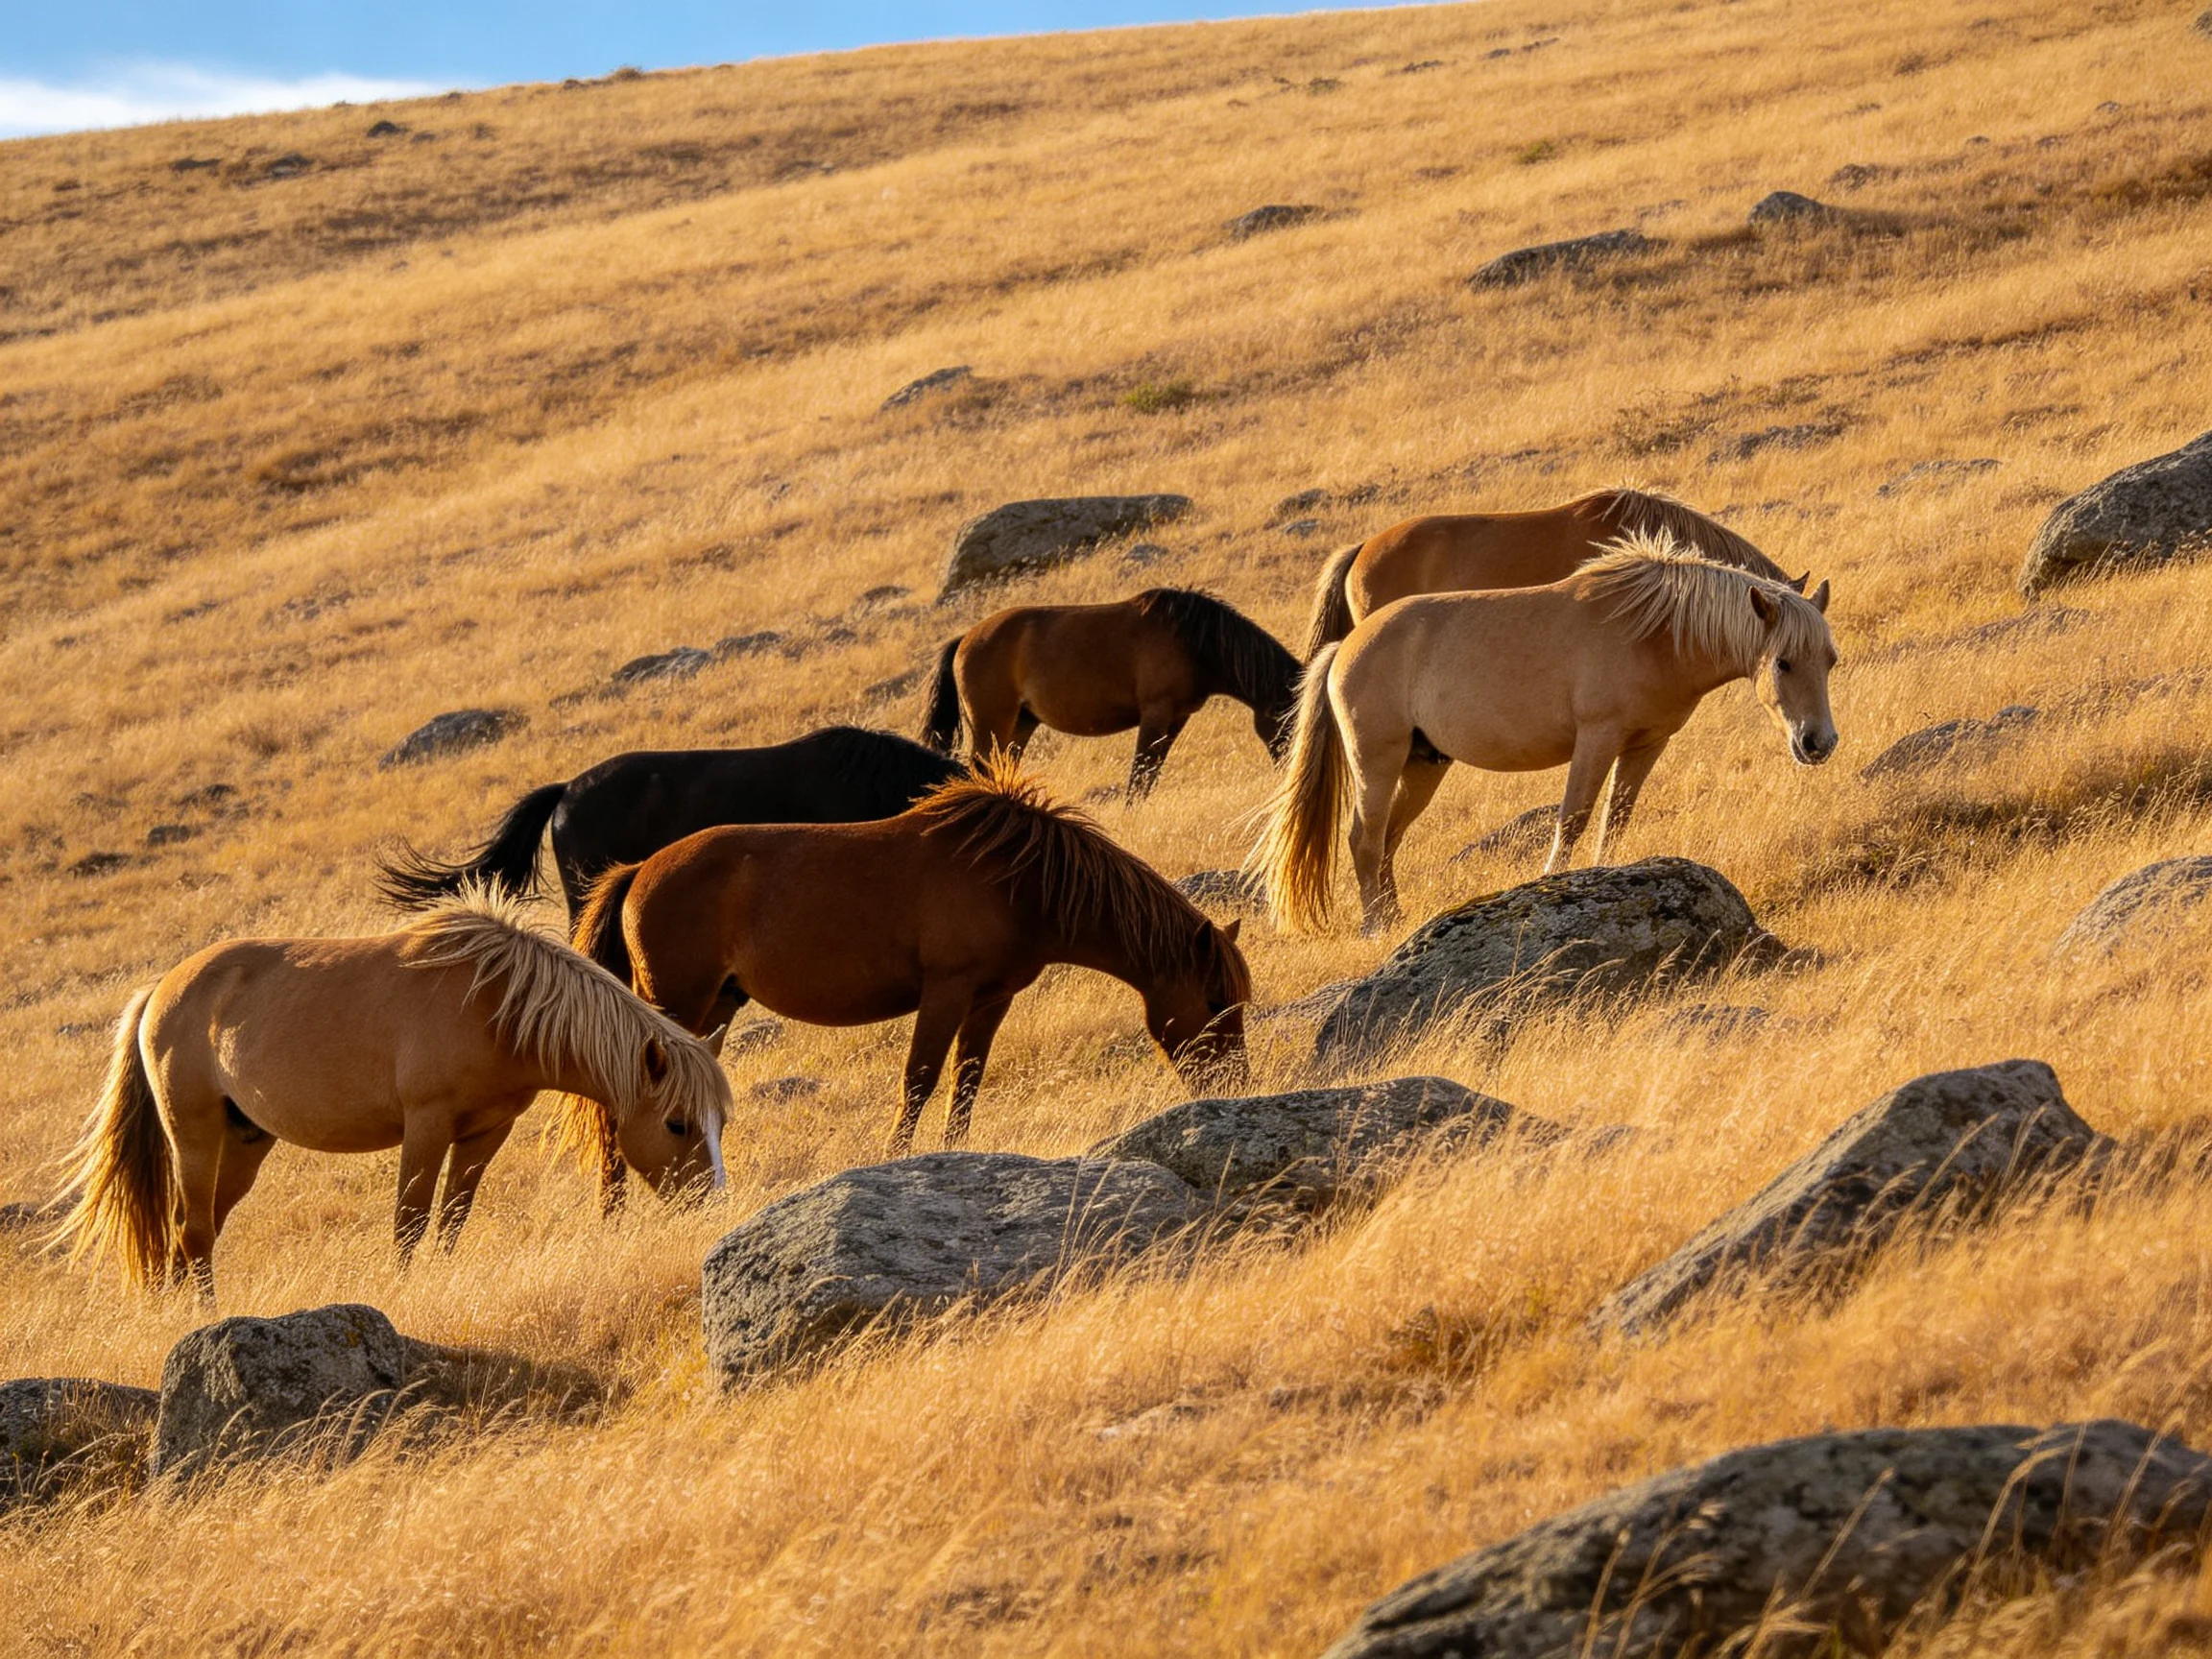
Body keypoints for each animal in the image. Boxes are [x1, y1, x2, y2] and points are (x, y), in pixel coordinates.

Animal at [51, 886, 732, 1303]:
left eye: (718, 1123)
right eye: (676, 1123)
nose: (713, 1206)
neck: (495, 1003)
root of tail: (159, 992)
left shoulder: (485, 1132)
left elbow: (451, 1221)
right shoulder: (426, 1126)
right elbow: (410, 1222)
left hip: (244, 1143)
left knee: (197, 1231)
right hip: (192, 1135)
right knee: (191, 1231)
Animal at [573, 758, 1251, 1160]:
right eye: (1216, 1000)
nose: (1237, 1088)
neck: (1019, 878)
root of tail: (637, 872)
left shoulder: (991, 999)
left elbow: (966, 1080)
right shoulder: (946, 991)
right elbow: (920, 1079)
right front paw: (898, 1155)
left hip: (718, 1004)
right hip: (676, 1004)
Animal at [919, 588, 1301, 800]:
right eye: (1288, 720)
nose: (1290, 773)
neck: (1194, 641)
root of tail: (966, 639)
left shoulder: (1176, 719)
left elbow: (1151, 773)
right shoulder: (1156, 713)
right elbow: (1140, 773)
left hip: (1021, 724)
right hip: (991, 723)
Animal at [1253, 531, 1837, 934]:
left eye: (1829, 659)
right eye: (1783, 662)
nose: (1818, 743)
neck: (1654, 632)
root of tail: (1344, 649)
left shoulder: (1646, 745)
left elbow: (1615, 820)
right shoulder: (1597, 738)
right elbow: (1573, 819)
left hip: (1422, 766)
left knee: (1387, 840)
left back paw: (1394, 920)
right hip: (1377, 762)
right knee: (1365, 839)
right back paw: (1376, 926)